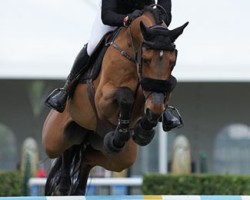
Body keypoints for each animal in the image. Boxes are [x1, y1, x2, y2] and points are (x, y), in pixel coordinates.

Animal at [43, 5, 188, 196]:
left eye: (172, 62)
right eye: (146, 59)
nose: (154, 107)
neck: (133, 54)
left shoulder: (156, 93)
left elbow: (157, 101)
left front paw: (143, 130)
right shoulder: (102, 98)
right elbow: (125, 97)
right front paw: (128, 130)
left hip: (120, 157)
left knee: (87, 157)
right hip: (53, 139)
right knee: (66, 149)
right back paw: (63, 186)